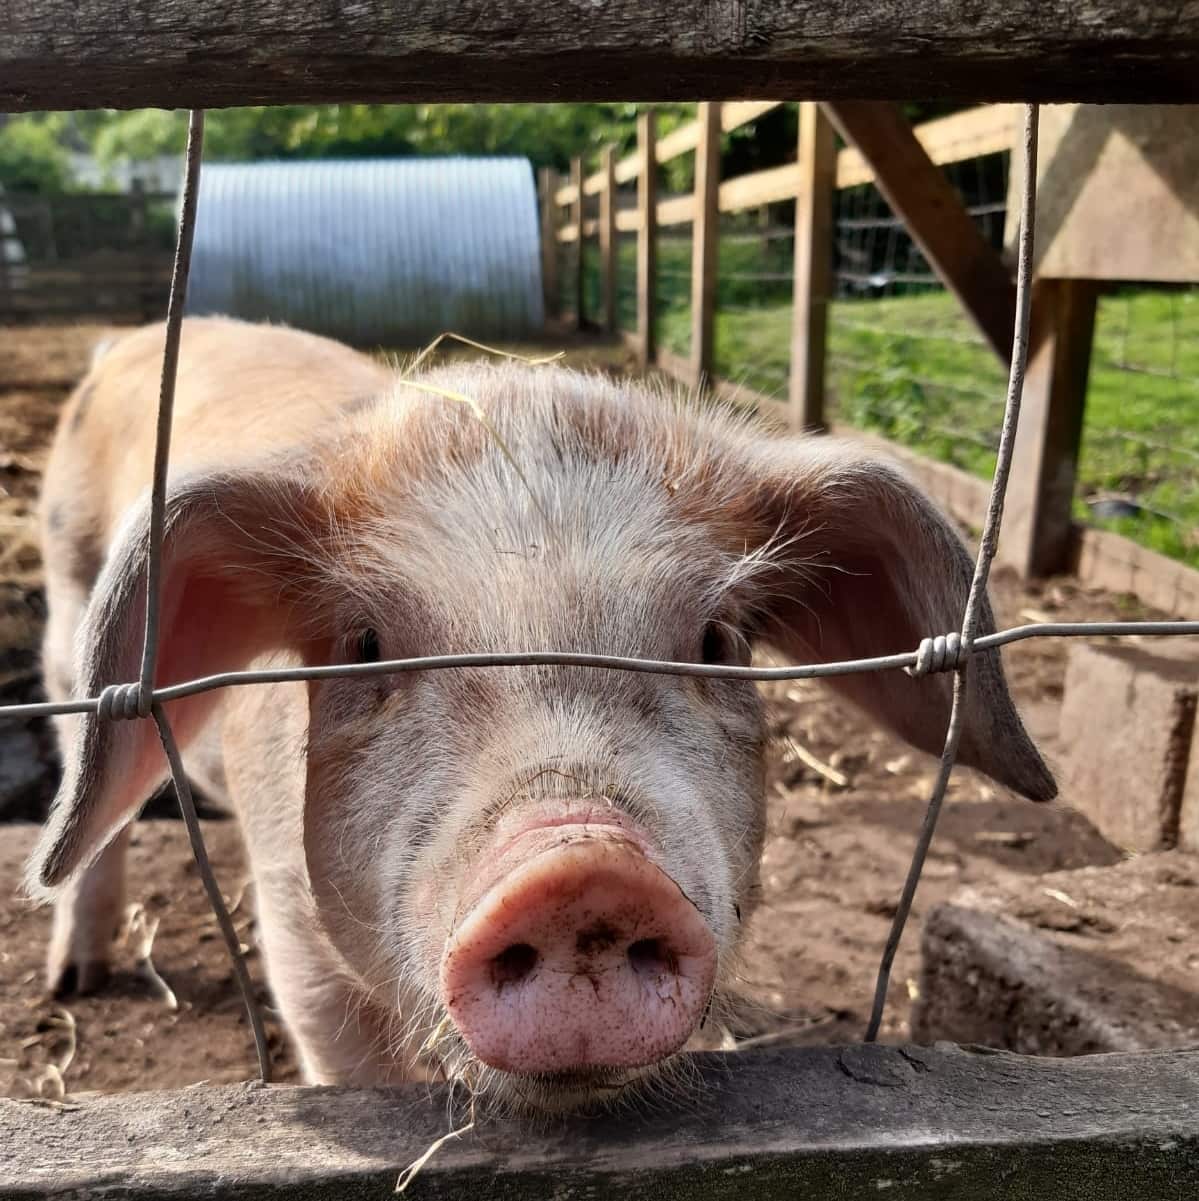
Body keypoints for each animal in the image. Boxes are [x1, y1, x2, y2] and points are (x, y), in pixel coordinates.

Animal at [25, 317, 1062, 1104]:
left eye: (716, 640)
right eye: (365, 644)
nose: (580, 865)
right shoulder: (292, 931)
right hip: (66, 604)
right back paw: (73, 977)